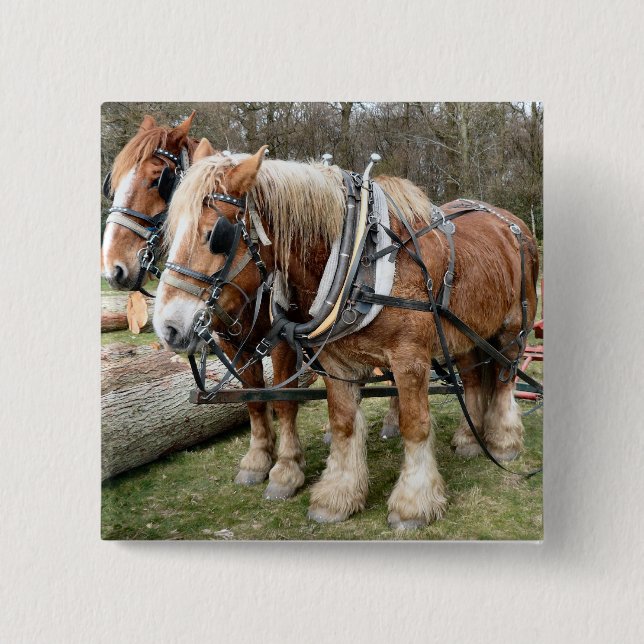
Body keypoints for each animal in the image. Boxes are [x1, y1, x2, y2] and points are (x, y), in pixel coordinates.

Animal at [101, 119, 307, 500]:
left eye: (158, 179)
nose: (113, 269)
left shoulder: (283, 341)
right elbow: (253, 397)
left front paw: (287, 469)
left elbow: (284, 398)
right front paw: (258, 459)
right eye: (114, 182)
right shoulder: (231, 342)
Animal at [153, 146, 539, 528]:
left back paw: (504, 442)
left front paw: (413, 503)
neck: (359, 258)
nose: (168, 327)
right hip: (467, 334)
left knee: (503, 379)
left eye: (215, 235)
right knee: (472, 379)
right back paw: (469, 438)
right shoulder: (336, 362)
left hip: (512, 329)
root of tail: (513, 223)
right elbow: (341, 424)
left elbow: (414, 425)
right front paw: (337, 495)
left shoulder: (410, 360)